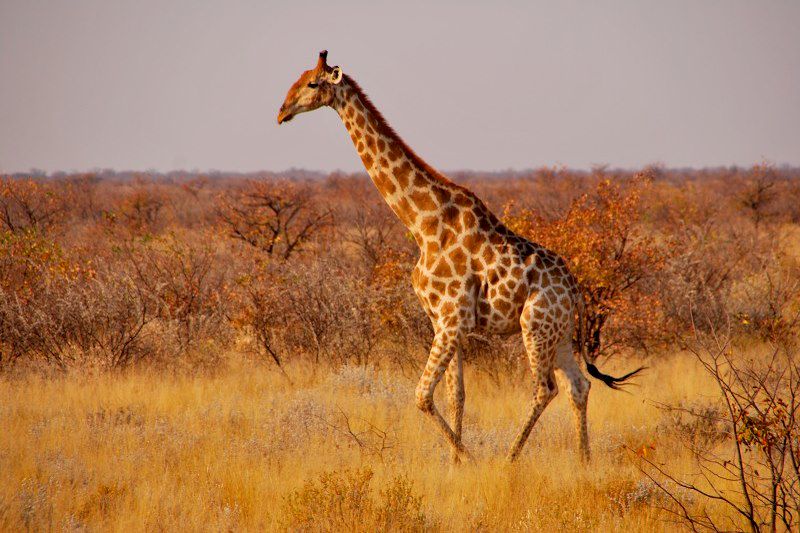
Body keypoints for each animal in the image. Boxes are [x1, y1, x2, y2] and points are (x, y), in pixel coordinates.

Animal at [278, 52, 640, 464]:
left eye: (311, 83)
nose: (281, 112)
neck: (423, 222)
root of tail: (576, 290)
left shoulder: (451, 320)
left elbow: (422, 396)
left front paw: (468, 459)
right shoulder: (443, 322)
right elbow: (457, 396)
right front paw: (455, 464)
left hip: (534, 325)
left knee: (545, 388)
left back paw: (510, 458)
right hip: (559, 333)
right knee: (578, 386)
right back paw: (583, 461)